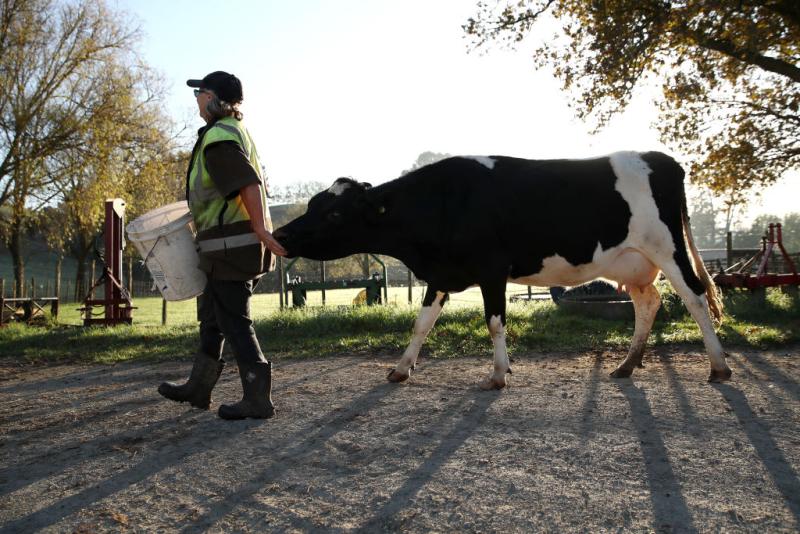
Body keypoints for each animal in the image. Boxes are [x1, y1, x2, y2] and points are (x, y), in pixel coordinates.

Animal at [274, 153, 732, 392]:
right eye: (313, 203)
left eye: (334, 213)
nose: (279, 234)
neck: (445, 201)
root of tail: (660, 158)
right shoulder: (441, 274)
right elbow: (422, 323)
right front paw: (401, 369)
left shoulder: (492, 270)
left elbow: (495, 322)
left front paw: (498, 373)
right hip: (635, 262)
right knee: (648, 304)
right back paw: (627, 364)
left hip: (668, 249)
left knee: (694, 298)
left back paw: (718, 366)